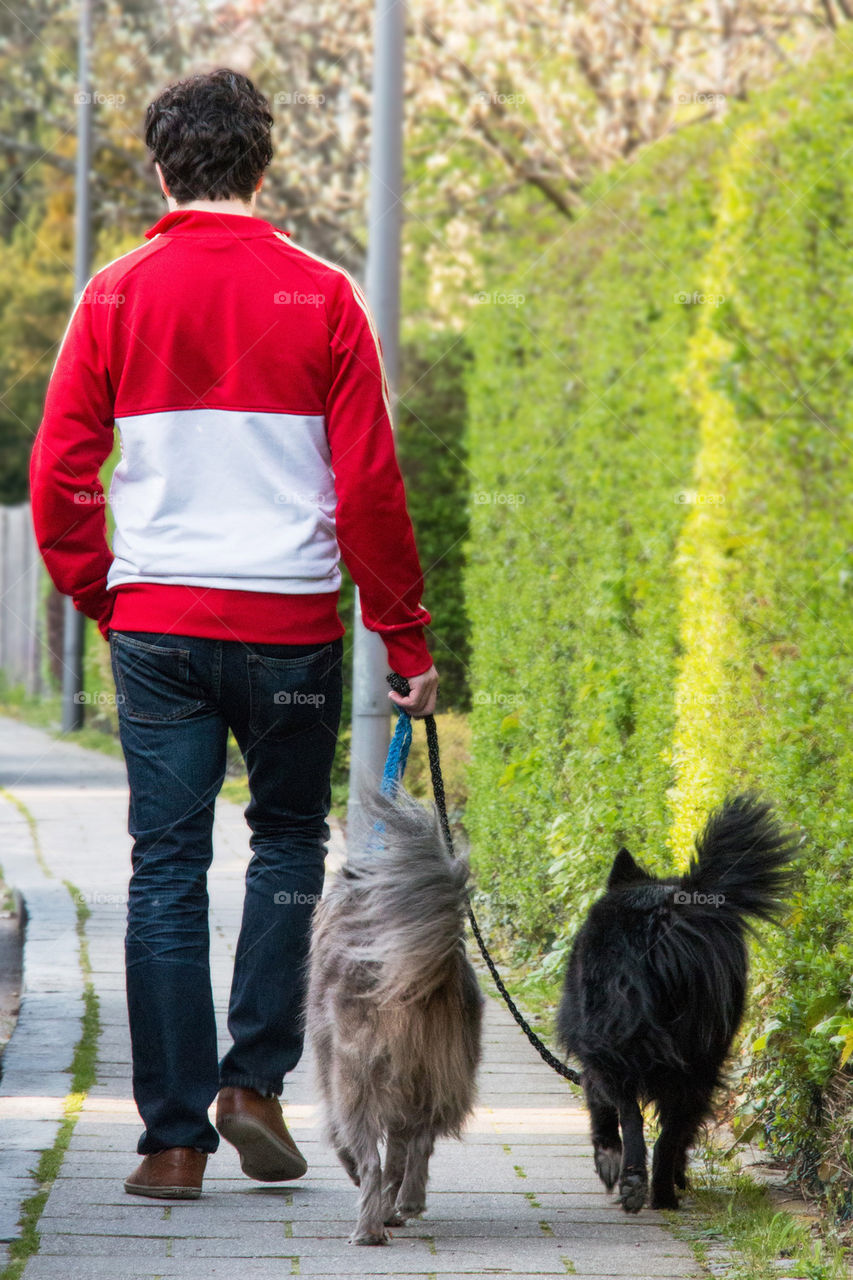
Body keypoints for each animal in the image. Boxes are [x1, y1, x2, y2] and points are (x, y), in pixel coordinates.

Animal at [306, 783, 481, 1244]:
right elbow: (402, 1151)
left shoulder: (329, 1068)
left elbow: (343, 1138)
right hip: (439, 1076)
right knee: (418, 1144)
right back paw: (404, 1204)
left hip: (354, 1074)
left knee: (370, 1156)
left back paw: (368, 1227)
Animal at [555, 793, 794, 1213]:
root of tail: (666, 913)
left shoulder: (591, 1049)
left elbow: (598, 1101)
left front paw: (607, 1156)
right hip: (702, 1056)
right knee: (671, 1130)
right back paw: (663, 1193)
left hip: (614, 1044)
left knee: (631, 1114)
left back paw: (636, 1180)